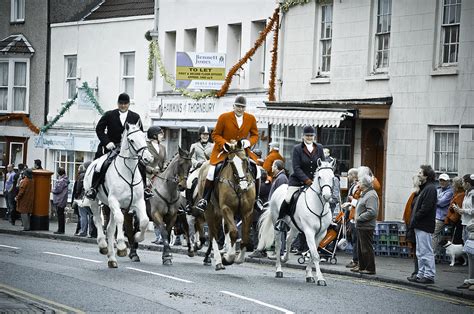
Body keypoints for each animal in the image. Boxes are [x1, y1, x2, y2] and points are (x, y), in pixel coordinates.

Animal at [81, 122, 152, 268]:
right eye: (131, 140)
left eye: (143, 136)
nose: (148, 158)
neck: (129, 172)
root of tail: (91, 164)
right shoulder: (114, 201)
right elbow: (120, 220)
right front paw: (121, 246)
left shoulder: (139, 201)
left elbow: (144, 221)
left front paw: (137, 237)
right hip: (95, 202)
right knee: (98, 220)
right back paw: (103, 245)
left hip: (109, 206)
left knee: (109, 229)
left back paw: (112, 259)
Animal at [196, 140, 256, 270]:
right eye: (231, 163)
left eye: (245, 160)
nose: (244, 186)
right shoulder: (227, 209)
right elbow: (234, 233)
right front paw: (228, 258)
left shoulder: (247, 212)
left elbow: (245, 236)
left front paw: (238, 258)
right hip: (210, 211)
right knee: (213, 234)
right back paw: (219, 261)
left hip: (219, 214)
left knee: (223, 231)